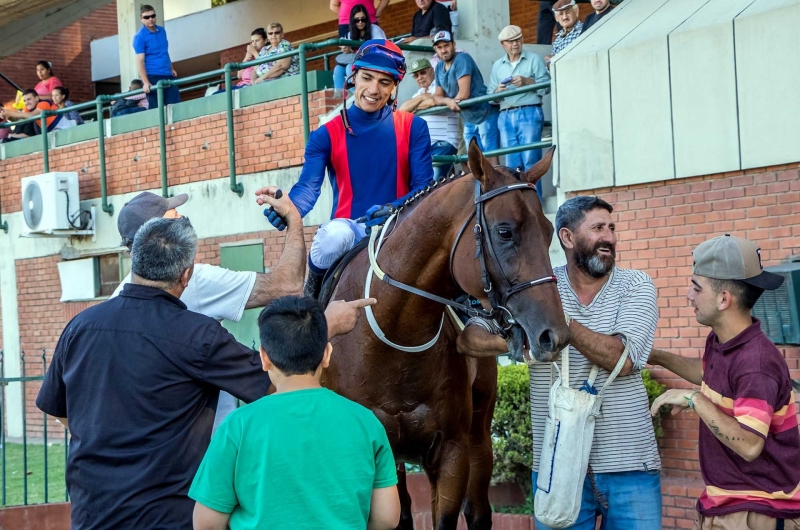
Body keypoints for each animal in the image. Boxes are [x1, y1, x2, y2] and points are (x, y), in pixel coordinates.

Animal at [320, 141, 568, 528]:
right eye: (505, 232)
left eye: (548, 231)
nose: (553, 334)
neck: (392, 343)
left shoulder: (452, 451)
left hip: (479, 434)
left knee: (478, 510)